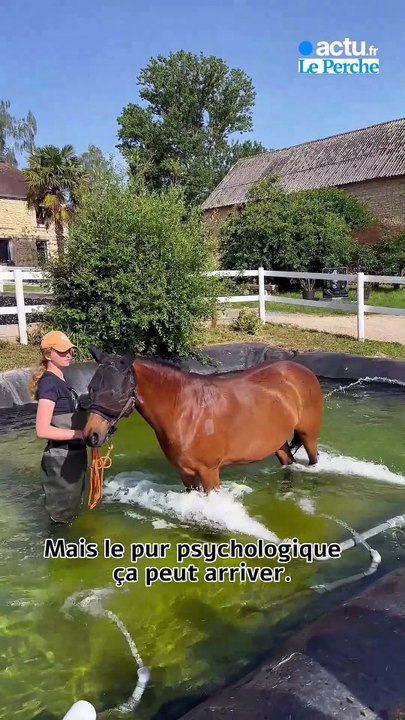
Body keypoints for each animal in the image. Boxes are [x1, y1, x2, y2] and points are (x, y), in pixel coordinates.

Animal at [82, 347, 324, 493]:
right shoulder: (186, 473)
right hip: (278, 442)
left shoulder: (209, 472)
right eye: (91, 388)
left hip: (308, 436)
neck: (184, 411)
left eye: (115, 393)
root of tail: (302, 369)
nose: (91, 435)